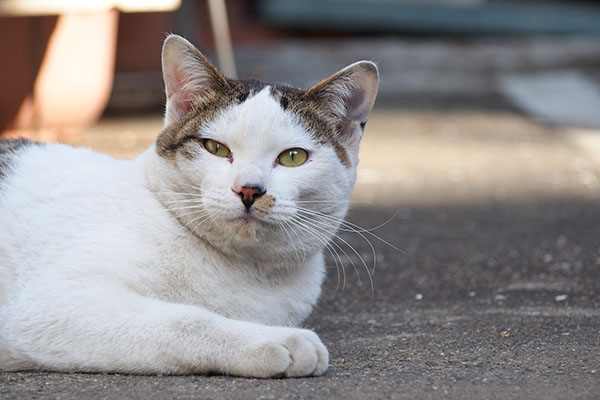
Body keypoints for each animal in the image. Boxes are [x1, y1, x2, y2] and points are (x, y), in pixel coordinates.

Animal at [0, 34, 378, 378]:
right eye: (216, 148)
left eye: (293, 157)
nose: (249, 190)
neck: (246, 274)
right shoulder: (55, 305)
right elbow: (189, 320)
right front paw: (275, 341)